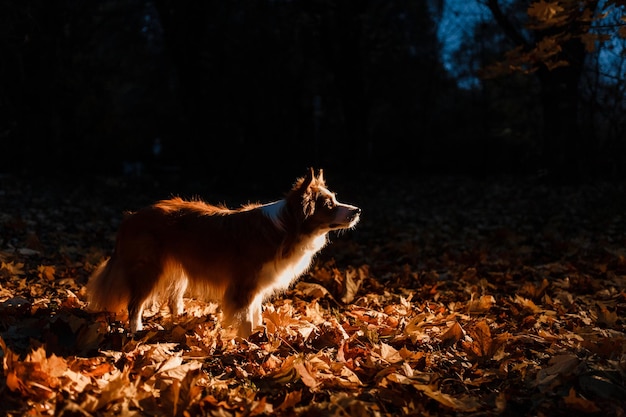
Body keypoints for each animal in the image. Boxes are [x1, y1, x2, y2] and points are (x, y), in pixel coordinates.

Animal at [88, 167, 360, 336]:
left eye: (335, 199)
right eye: (329, 205)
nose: (358, 210)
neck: (288, 227)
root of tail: (131, 217)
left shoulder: (256, 286)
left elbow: (256, 313)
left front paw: (259, 337)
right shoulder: (243, 286)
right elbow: (246, 318)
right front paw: (248, 342)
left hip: (177, 269)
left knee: (173, 299)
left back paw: (181, 320)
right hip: (149, 270)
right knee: (135, 305)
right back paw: (137, 332)